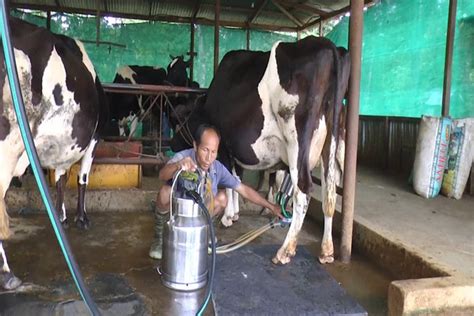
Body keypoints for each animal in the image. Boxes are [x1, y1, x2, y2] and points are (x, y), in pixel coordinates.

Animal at [0, 16, 105, 288]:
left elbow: (60, 179)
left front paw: (61, 216)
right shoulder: (95, 139)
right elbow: (82, 179)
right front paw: (81, 218)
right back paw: (7, 274)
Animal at [172, 35, 350, 266]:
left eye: (180, 121)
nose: (171, 143)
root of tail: (327, 45)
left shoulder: (224, 147)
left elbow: (230, 180)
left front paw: (228, 216)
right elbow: (236, 179)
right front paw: (234, 214)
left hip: (296, 139)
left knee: (304, 191)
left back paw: (285, 251)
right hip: (332, 142)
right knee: (329, 192)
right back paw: (326, 251)